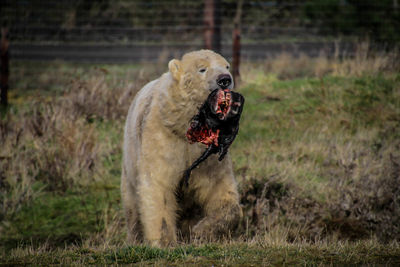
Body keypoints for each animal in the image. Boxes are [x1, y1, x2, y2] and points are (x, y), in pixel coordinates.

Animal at [122, 49, 241, 247]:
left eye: (227, 66)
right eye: (202, 69)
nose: (225, 79)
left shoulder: (208, 156)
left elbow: (220, 190)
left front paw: (201, 231)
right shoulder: (162, 137)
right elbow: (159, 186)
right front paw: (164, 242)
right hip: (130, 161)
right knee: (131, 205)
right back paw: (134, 236)